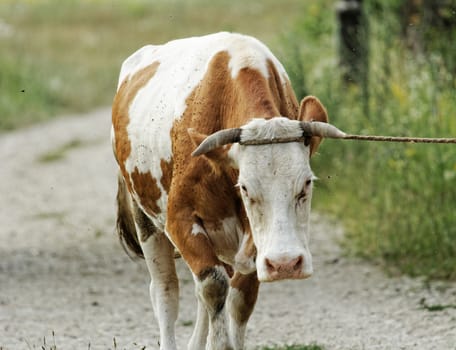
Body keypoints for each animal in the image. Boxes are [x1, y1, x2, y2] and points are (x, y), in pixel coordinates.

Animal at [112, 32, 344, 350]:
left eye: (307, 183)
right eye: (245, 187)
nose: (285, 264)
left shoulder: (254, 244)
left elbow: (239, 300)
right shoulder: (179, 220)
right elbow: (212, 285)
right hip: (145, 219)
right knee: (165, 291)